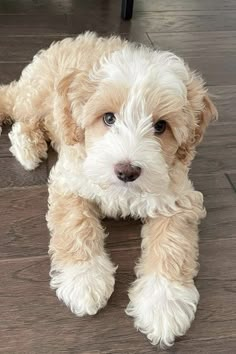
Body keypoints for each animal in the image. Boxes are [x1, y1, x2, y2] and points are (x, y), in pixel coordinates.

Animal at [0, 31, 218, 348]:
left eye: (161, 126)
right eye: (108, 118)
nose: (127, 171)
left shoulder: (177, 197)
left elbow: (173, 244)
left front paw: (163, 305)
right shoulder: (71, 181)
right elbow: (76, 225)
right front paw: (84, 280)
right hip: (38, 95)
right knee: (22, 115)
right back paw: (28, 148)